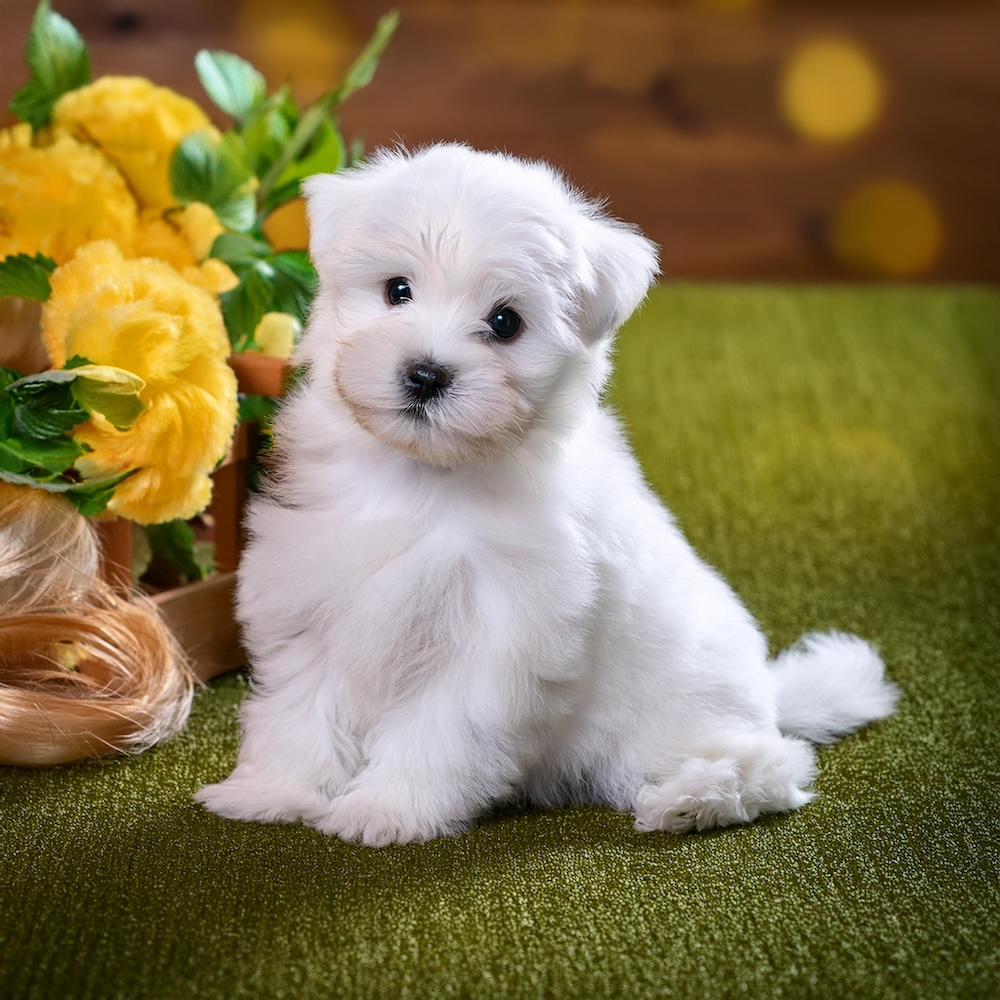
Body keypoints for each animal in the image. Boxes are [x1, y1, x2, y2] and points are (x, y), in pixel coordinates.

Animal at [195, 143, 900, 844]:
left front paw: (390, 809)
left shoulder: (498, 636)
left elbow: (437, 729)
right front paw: (273, 792)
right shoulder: (312, 592)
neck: (425, 477)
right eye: (398, 290)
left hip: (677, 713)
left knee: (773, 763)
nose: (425, 373)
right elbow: (300, 710)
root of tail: (768, 695)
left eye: (505, 322)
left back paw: (690, 798)